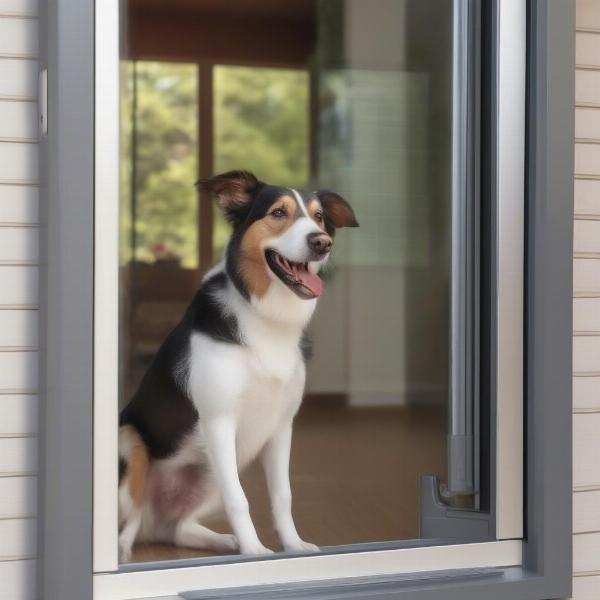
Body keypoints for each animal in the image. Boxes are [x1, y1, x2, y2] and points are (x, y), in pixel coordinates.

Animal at [119, 170, 358, 564]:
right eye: (278, 213)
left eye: (319, 217)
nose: (321, 242)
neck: (266, 316)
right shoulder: (219, 420)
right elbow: (240, 500)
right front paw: (255, 552)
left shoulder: (281, 426)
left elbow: (283, 495)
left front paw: (292, 546)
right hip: (132, 443)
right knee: (131, 516)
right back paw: (123, 550)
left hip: (208, 472)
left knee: (176, 528)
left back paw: (222, 541)